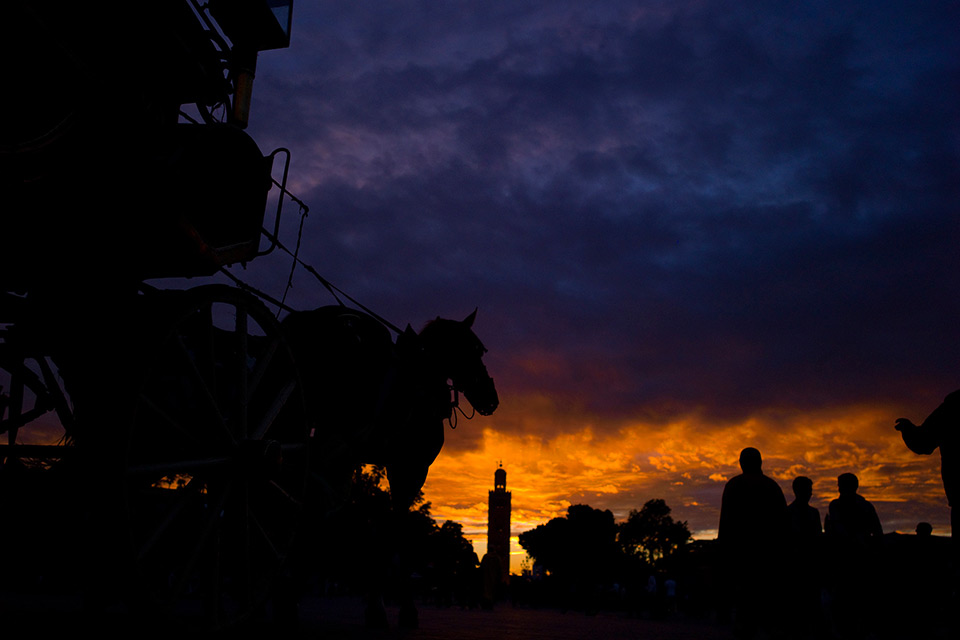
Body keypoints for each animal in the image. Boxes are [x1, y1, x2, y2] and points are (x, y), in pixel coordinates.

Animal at [280, 304, 498, 624]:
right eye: (476, 349)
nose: (491, 398)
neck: (419, 379)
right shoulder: (411, 468)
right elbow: (397, 531)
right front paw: (401, 608)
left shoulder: (367, 460)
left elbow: (377, 527)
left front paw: (376, 604)